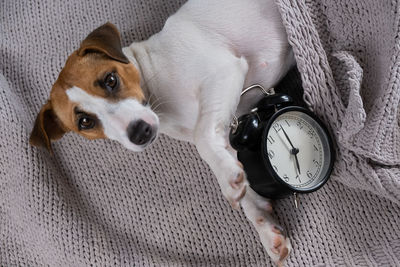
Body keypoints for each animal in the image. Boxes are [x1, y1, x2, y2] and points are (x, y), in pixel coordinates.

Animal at [29, 0, 294, 264]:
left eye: (111, 80)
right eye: (85, 122)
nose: (139, 132)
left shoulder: (223, 72)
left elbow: (202, 138)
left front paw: (229, 182)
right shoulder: (229, 127)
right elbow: (236, 173)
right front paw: (263, 224)